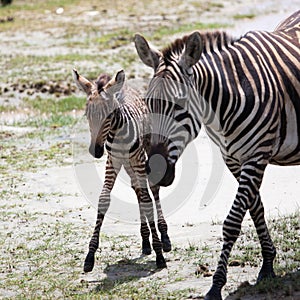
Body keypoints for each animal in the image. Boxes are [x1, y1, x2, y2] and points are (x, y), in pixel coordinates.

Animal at [72, 68, 171, 272]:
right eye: (87, 115)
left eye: (108, 116)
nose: (96, 151)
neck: (117, 134)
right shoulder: (113, 161)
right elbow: (104, 199)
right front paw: (90, 256)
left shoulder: (138, 159)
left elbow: (147, 199)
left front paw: (159, 253)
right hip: (128, 164)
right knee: (138, 189)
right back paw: (145, 241)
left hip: (143, 154)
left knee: (152, 189)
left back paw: (164, 238)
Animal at [135, 10, 300, 300]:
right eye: (148, 103)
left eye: (179, 106)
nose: (154, 171)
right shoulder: (233, 159)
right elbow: (256, 208)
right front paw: (268, 264)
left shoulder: (256, 156)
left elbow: (233, 221)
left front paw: (216, 285)